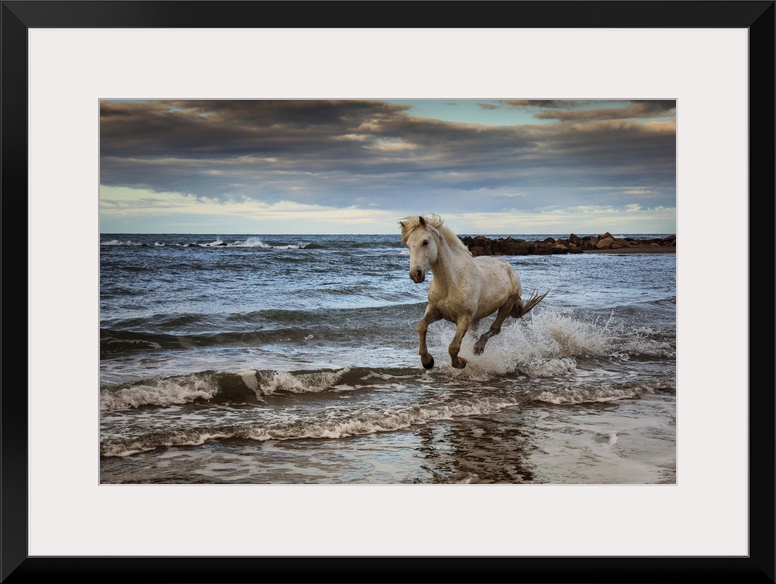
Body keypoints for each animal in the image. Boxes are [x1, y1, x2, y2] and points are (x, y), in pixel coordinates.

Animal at [400, 214, 544, 370]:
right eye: (408, 245)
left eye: (425, 242)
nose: (415, 274)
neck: (451, 283)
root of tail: (509, 268)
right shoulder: (435, 310)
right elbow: (421, 326)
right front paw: (427, 361)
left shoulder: (464, 318)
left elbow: (453, 347)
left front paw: (461, 362)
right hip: (477, 317)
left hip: (506, 305)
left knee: (495, 328)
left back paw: (478, 348)